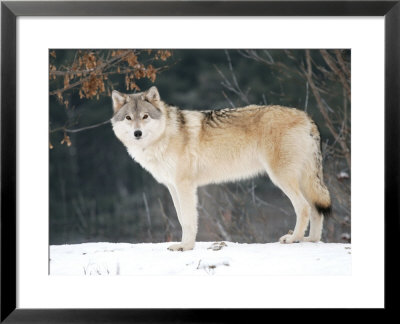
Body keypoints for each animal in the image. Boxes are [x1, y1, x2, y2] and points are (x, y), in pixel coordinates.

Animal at [110, 85, 332, 251]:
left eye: (145, 116)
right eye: (128, 118)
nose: (137, 133)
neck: (165, 135)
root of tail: (307, 117)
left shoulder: (185, 186)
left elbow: (189, 220)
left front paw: (186, 246)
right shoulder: (172, 187)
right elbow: (181, 218)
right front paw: (184, 244)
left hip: (282, 178)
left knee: (303, 207)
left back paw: (294, 239)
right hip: (303, 180)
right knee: (316, 209)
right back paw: (310, 239)